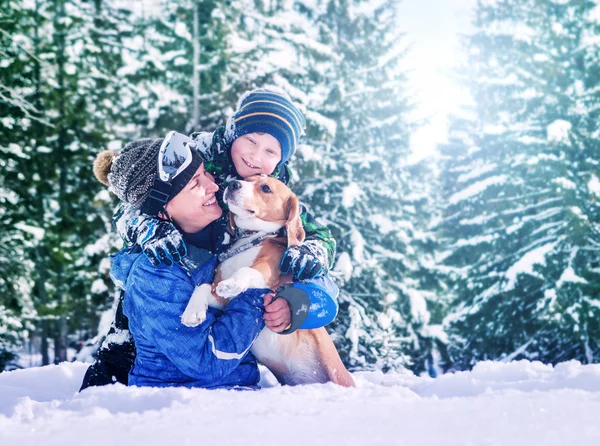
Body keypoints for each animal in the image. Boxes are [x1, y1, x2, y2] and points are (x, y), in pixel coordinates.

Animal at [180, 174, 354, 386]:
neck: (251, 237)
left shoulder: (268, 271)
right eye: (247, 179)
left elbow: (246, 271)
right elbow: (203, 286)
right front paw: (193, 312)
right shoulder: (223, 301)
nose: (233, 184)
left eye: (265, 188)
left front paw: (232, 284)